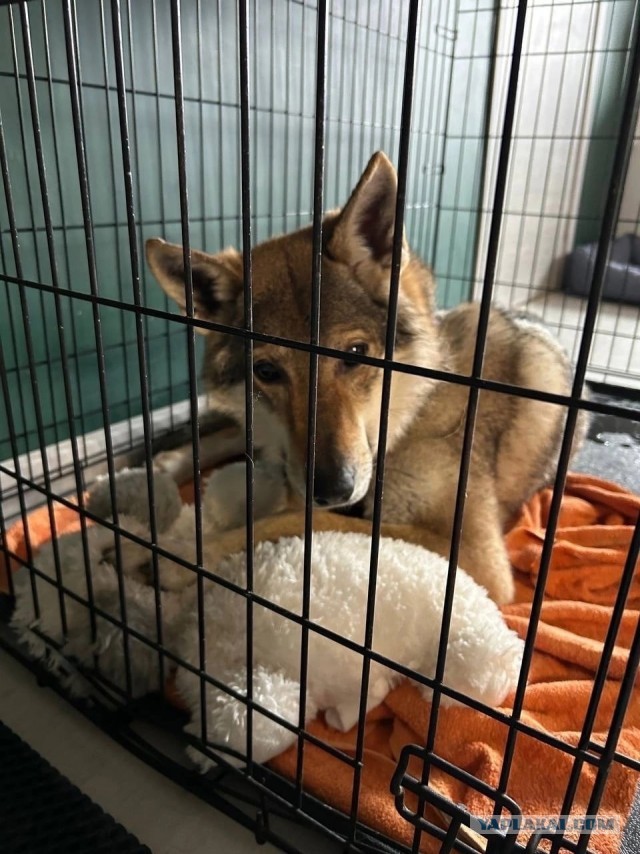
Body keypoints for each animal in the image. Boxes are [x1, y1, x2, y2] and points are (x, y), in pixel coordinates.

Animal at [142, 152, 584, 604]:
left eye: (354, 354)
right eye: (266, 371)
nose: (331, 489)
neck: (410, 419)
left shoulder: (477, 559)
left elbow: (299, 522)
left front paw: (186, 556)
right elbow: (302, 513)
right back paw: (166, 462)